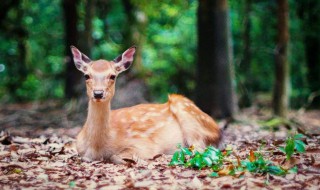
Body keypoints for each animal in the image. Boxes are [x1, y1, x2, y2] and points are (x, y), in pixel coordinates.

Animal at [70, 45, 220, 164]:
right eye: (86, 75)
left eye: (113, 76)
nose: (98, 93)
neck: (97, 147)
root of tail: (217, 128)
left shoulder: (145, 144)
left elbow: (115, 156)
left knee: (200, 148)